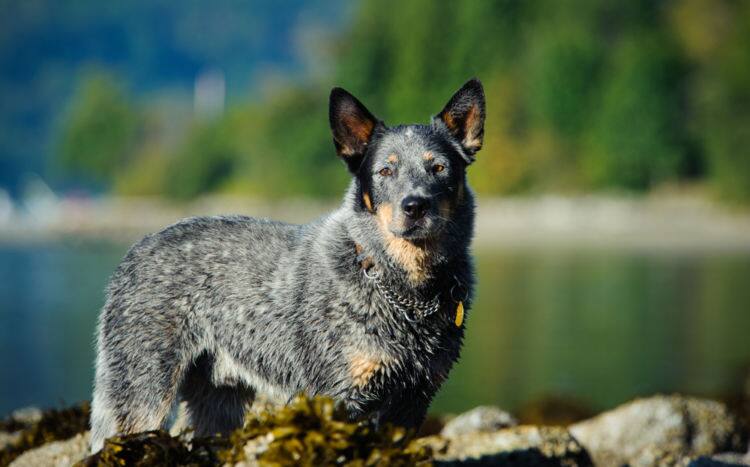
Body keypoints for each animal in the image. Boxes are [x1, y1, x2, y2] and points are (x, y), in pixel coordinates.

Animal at [89, 77, 488, 454]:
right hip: (142, 393)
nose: (414, 206)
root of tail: (137, 249)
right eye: (385, 172)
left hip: (217, 402)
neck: (404, 287)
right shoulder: (339, 397)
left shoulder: (412, 402)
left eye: (438, 168)